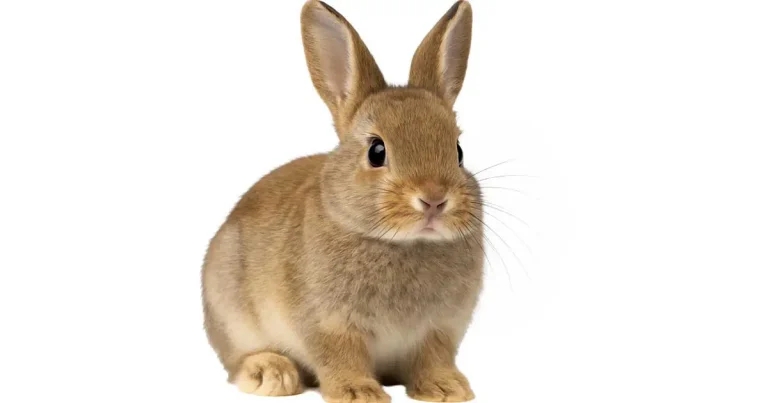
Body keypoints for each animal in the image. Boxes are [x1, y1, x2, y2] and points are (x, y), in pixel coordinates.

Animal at [201, 1, 483, 402]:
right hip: (230, 312)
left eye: (458, 151)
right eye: (377, 151)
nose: (433, 199)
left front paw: (447, 388)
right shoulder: (329, 325)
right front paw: (358, 392)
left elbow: (433, 357)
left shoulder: (439, 329)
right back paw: (272, 375)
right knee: (237, 360)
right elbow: (340, 357)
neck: (403, 243)